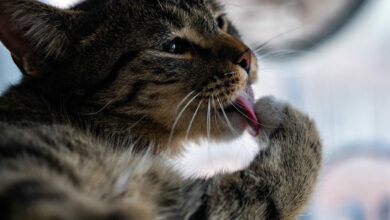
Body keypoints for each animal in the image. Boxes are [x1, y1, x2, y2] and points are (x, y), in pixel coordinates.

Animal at [0, 0, 322, 219]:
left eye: (220, 22)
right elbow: (278, 185)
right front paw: (287, 116)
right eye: (174, 47)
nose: (247, 57)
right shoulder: (188, 206)